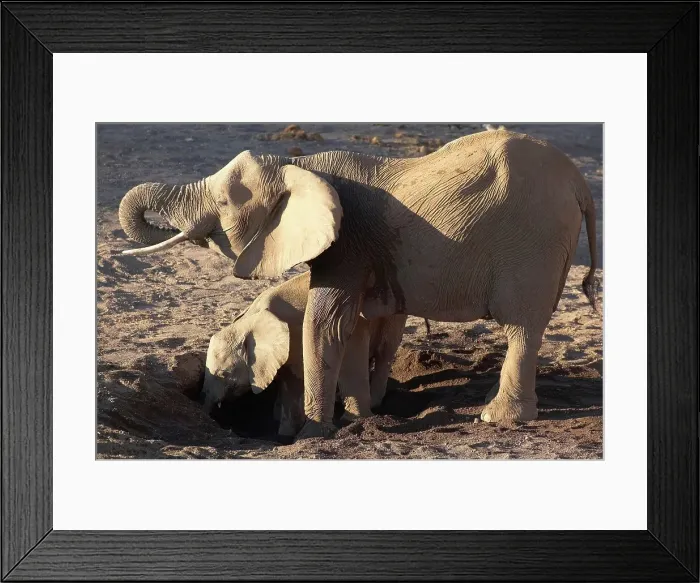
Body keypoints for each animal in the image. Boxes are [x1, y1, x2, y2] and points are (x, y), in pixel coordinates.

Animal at [201, 271, 407, 438]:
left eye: (224, 374)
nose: (219, 422)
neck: (252, 319)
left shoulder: (297, 336)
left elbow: (294, 383)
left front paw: (286, 436)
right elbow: (287, 382)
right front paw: (284, 431)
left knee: (385, 353)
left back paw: (374, 403)